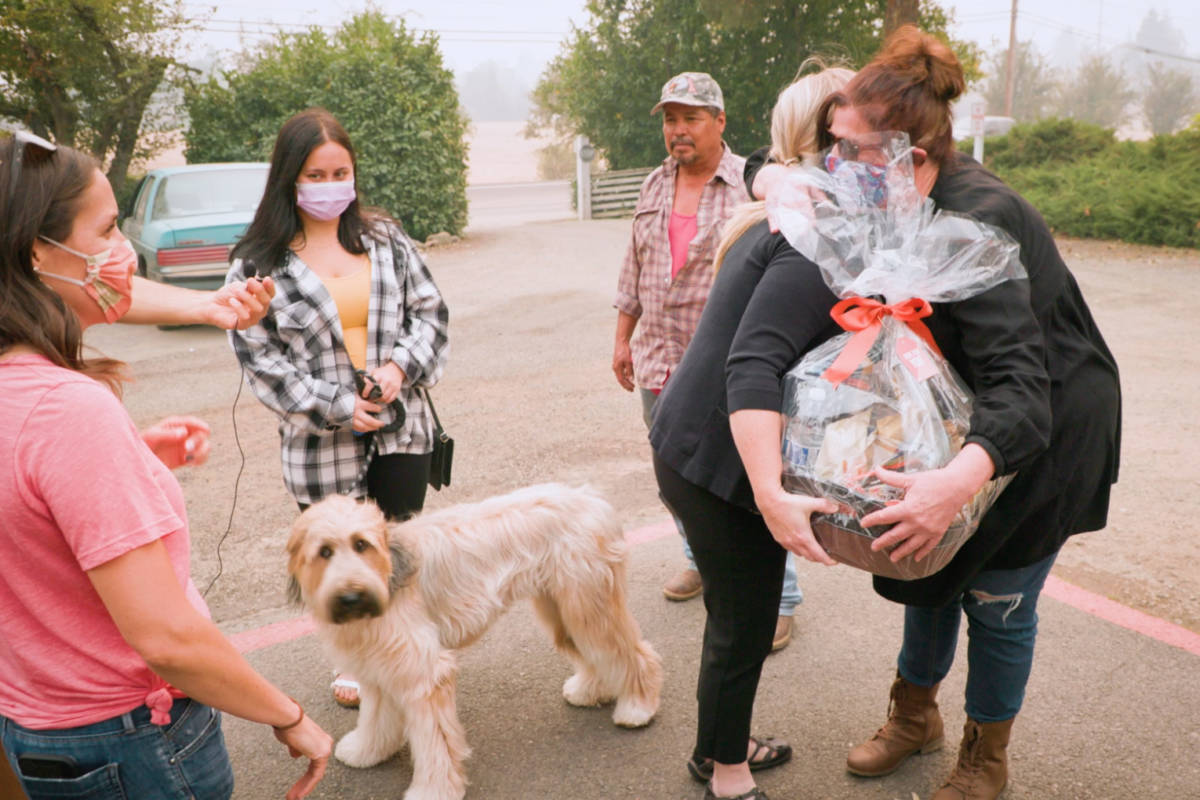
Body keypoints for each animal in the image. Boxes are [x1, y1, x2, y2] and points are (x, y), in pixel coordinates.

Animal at [288, 482, 667, 800]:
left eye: (361, 544)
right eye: (324, 552)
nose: (351, 596)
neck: (388, 575)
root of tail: (592, 499)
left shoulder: (425, 674)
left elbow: (435, 744)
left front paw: (433, 790)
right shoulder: (379, 670)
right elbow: (375, 719)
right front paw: (365, 752)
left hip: (588, 608)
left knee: (633, 655)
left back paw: (637, 708)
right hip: (562, 611)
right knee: (595, 655)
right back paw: (590, 690)